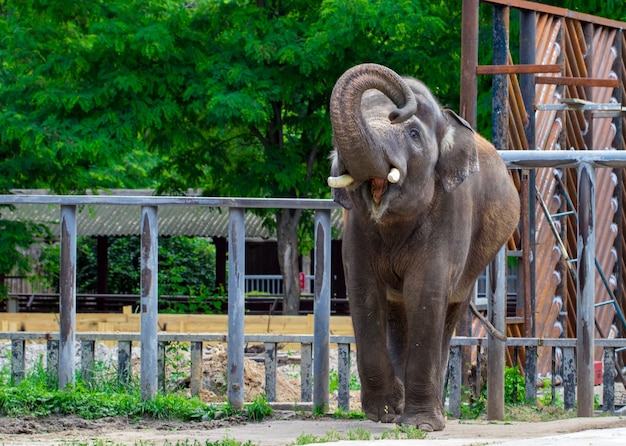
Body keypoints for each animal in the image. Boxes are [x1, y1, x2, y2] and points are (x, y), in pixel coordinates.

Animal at [324, 64, 520, 430]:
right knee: (399, 312)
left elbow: (425, 293)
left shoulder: (450, 214)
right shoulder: (356, 226)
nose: (399, 107)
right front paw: (383, 415)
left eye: (413, 134)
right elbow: (364, 291)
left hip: (475, 261)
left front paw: (420, 425)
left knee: (449, 309)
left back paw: (433, 414)